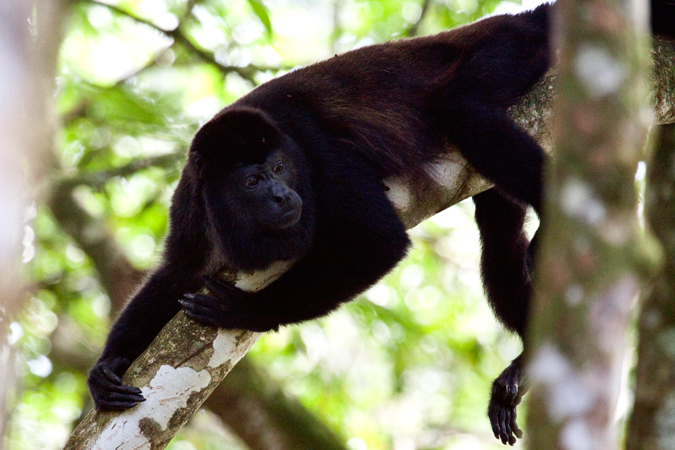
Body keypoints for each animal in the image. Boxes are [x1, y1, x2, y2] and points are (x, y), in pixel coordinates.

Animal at [88, 2, 675, 446]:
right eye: (253, 180)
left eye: (279, 168)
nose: (283, 194)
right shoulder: (190, 200)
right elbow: (174, 273)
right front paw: (104, 369)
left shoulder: (316, 155)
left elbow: (379, 241)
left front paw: (249, 311)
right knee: (497, 227)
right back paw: (529, 363)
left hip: (514, 50)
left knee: (464, 107)